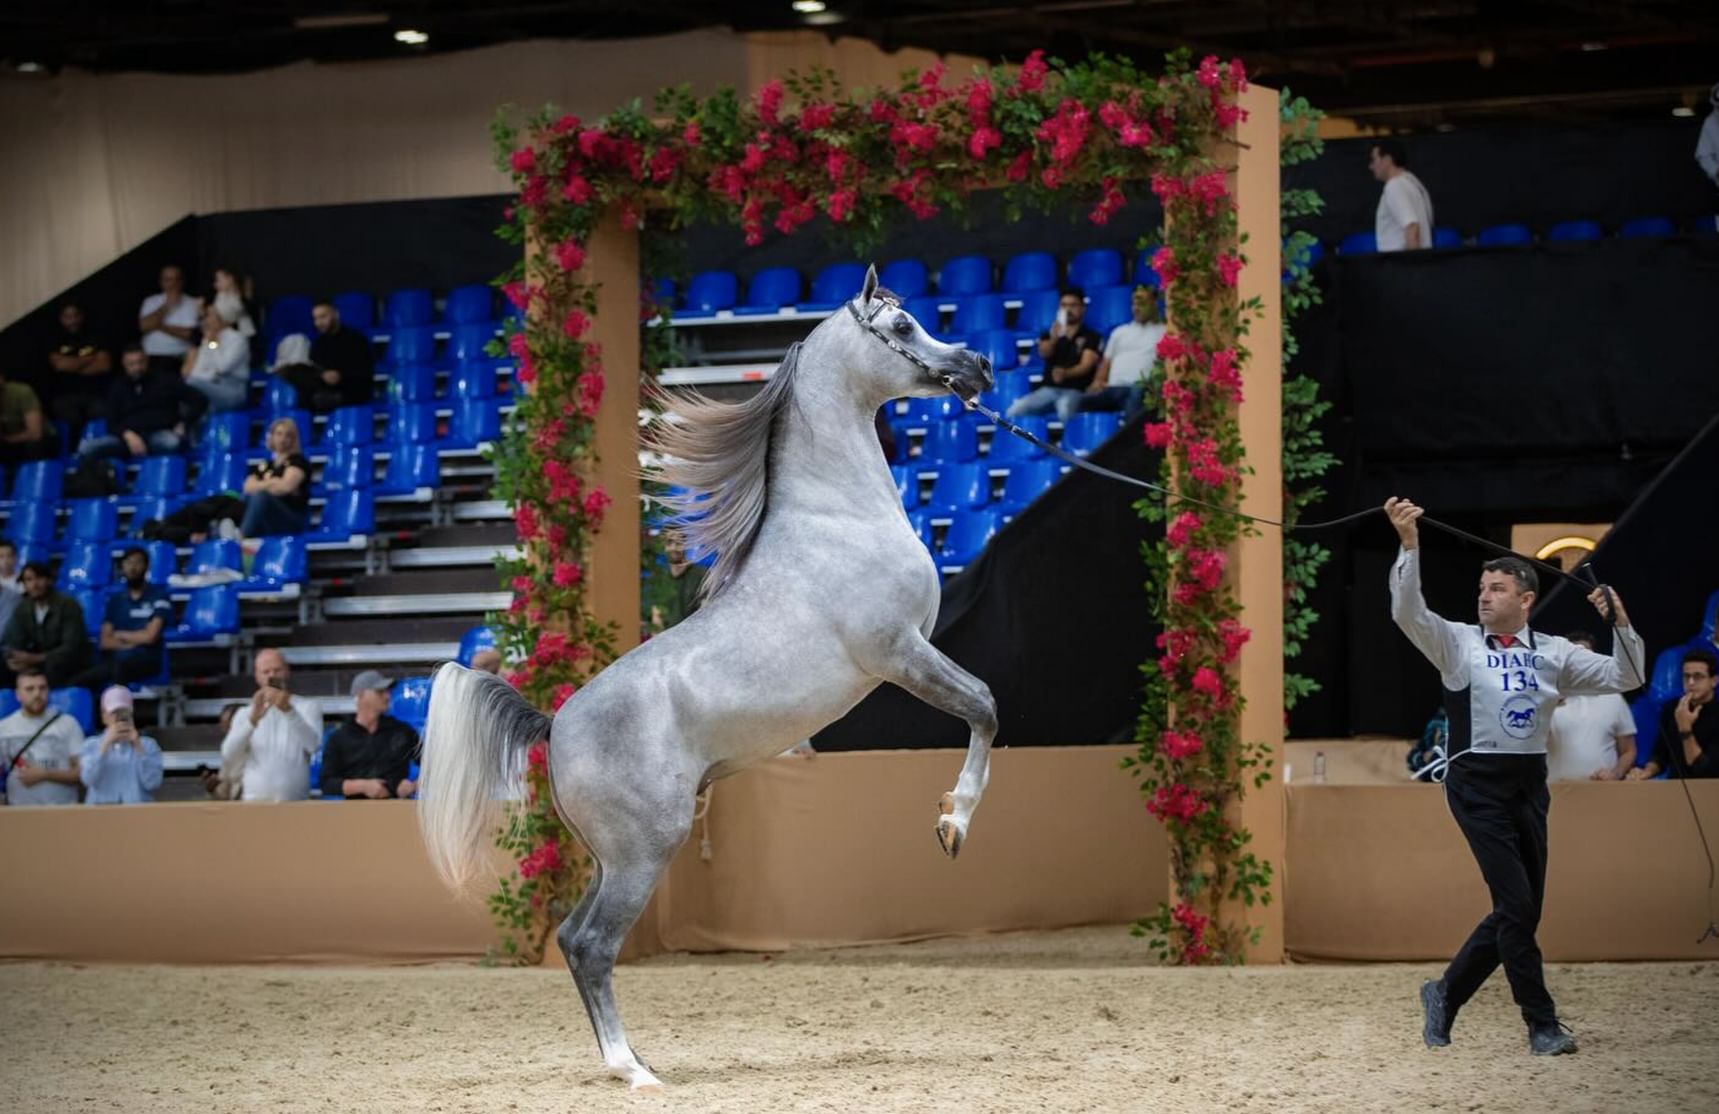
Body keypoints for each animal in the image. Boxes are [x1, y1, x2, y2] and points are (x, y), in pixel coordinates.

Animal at [418, 265, 996, 1090]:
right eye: (903, 327)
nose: (976, 368)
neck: (836, 521)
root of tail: (553, 724)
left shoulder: (913, 650)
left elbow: (981, 704)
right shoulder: (898, 652)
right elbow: (983, 706)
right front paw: (952, 823)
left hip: (614, 856)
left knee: (571, 936)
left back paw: (633, 1061)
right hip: (644, 849)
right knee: (591, 943)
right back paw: (634, 1073)